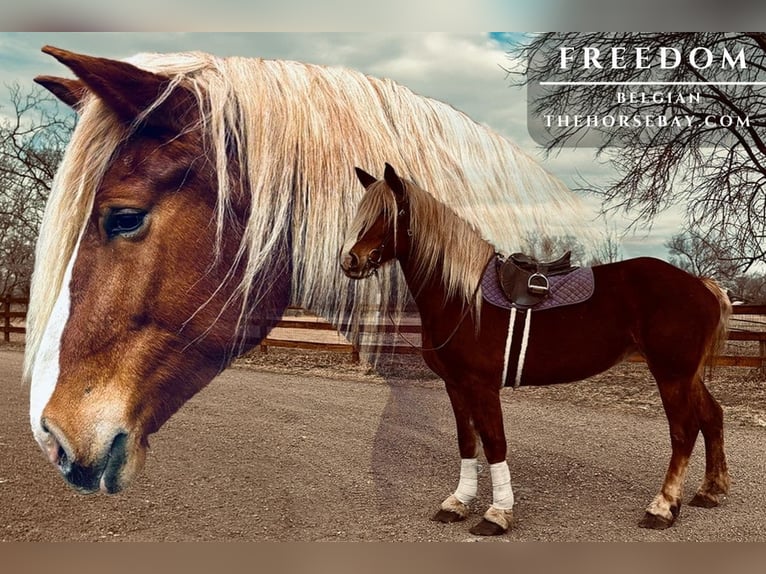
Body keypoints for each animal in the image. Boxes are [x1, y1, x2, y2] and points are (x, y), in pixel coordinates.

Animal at [341, 163, 732, 535]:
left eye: (389, 214)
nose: (351, 261)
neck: (464, 298)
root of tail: (701, 284)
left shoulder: (482, 386)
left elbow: (494, 442)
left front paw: (497, 514)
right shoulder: (455, 385)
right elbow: (467, 441)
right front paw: (458, 503)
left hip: (671, 375)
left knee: (684, 432)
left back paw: (662, 508)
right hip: (687, 375)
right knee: (712, 417)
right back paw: (710, 491)